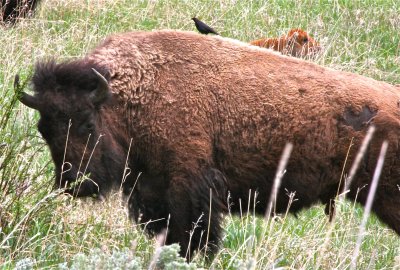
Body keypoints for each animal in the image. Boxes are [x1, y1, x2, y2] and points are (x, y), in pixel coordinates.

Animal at [18, 29, 400, 260]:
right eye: (43, 129)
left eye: (87, 122)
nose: (74, 183)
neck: (130, 94)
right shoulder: (153, 194)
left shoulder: (189, 191)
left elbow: (195, 238)